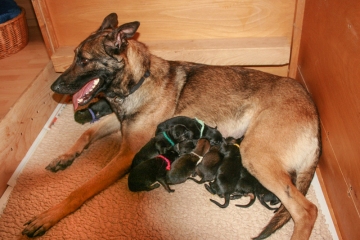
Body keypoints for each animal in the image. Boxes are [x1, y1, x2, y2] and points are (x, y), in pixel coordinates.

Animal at [21, 13, 320, 240]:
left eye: (83, 60)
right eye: (73, 56)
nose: (54, 87)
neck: (138, 80)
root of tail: (314, 111)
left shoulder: (126, 155)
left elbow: (80, 190)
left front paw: (48, 216)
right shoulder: (119, 122)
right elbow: (86, 133)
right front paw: (64, 156)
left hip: (255, 155)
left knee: (307, 210)